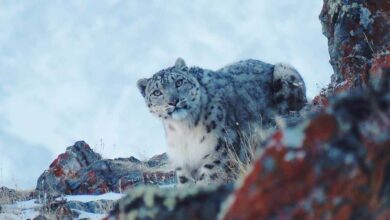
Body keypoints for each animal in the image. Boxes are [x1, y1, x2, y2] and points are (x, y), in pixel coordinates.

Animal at [138, 57, 308, 186]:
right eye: (157, 92)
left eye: (179, 82)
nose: (173, 101)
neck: (184, 130)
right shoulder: (182, 164)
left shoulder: (219, 153)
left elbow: (207, 182)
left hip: (284, 71)